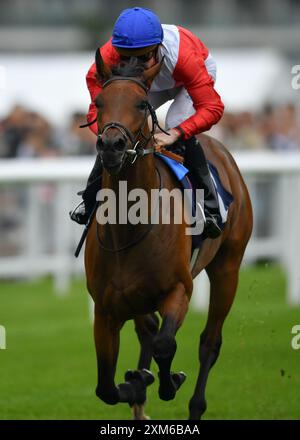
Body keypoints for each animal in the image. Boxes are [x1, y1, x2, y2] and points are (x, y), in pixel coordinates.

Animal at [84, 49, 253, 422]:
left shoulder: (178, 290)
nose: (112, 146)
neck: (127, 227)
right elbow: (104, 387)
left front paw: (167, 381)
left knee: (209, 343)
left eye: (142, 104)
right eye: (99, 102)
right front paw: (136, 384)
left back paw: (193, 405)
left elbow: (165, 344)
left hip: (227, 268)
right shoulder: (105, 308)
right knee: (147, 329)